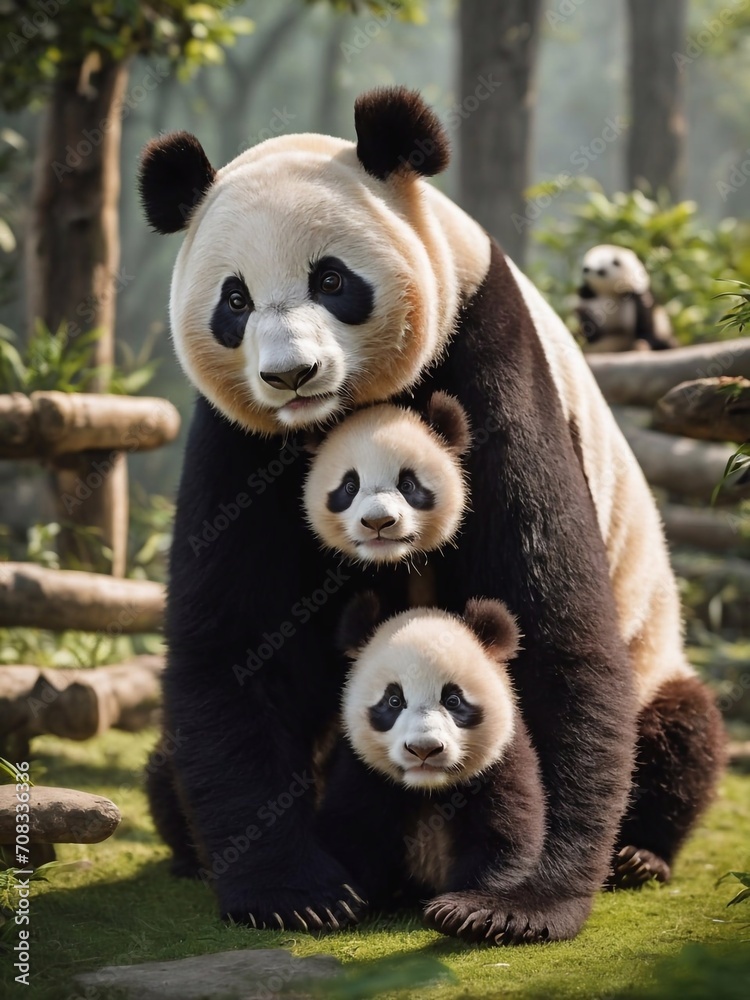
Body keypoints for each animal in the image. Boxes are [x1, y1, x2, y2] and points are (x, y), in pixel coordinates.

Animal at [317, 593, 547, 946]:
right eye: (394, 701)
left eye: (453, 700)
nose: (424, 749)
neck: (428, 788)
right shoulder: (360, 770)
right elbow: (353, 829)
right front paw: (346, 901)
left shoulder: (503, 761)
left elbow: (504, 834)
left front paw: (465, 911)